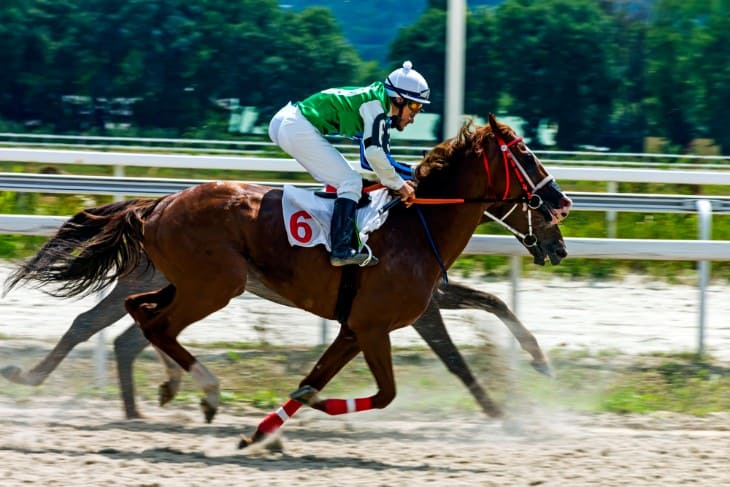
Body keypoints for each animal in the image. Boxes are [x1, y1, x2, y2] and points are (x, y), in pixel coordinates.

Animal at [7, 113, 568, 446]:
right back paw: (203, 391)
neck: (416, 223)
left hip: (184, 282)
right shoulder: (385, 321)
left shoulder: (365, 324)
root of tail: (157, 205)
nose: (561, 213)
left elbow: (490, 305)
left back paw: (167, 389)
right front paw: (504, 410)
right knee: (141, 325)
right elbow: (451, 361)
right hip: (215, 285)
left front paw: (535, 369)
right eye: (526, 157)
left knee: (139, 319)